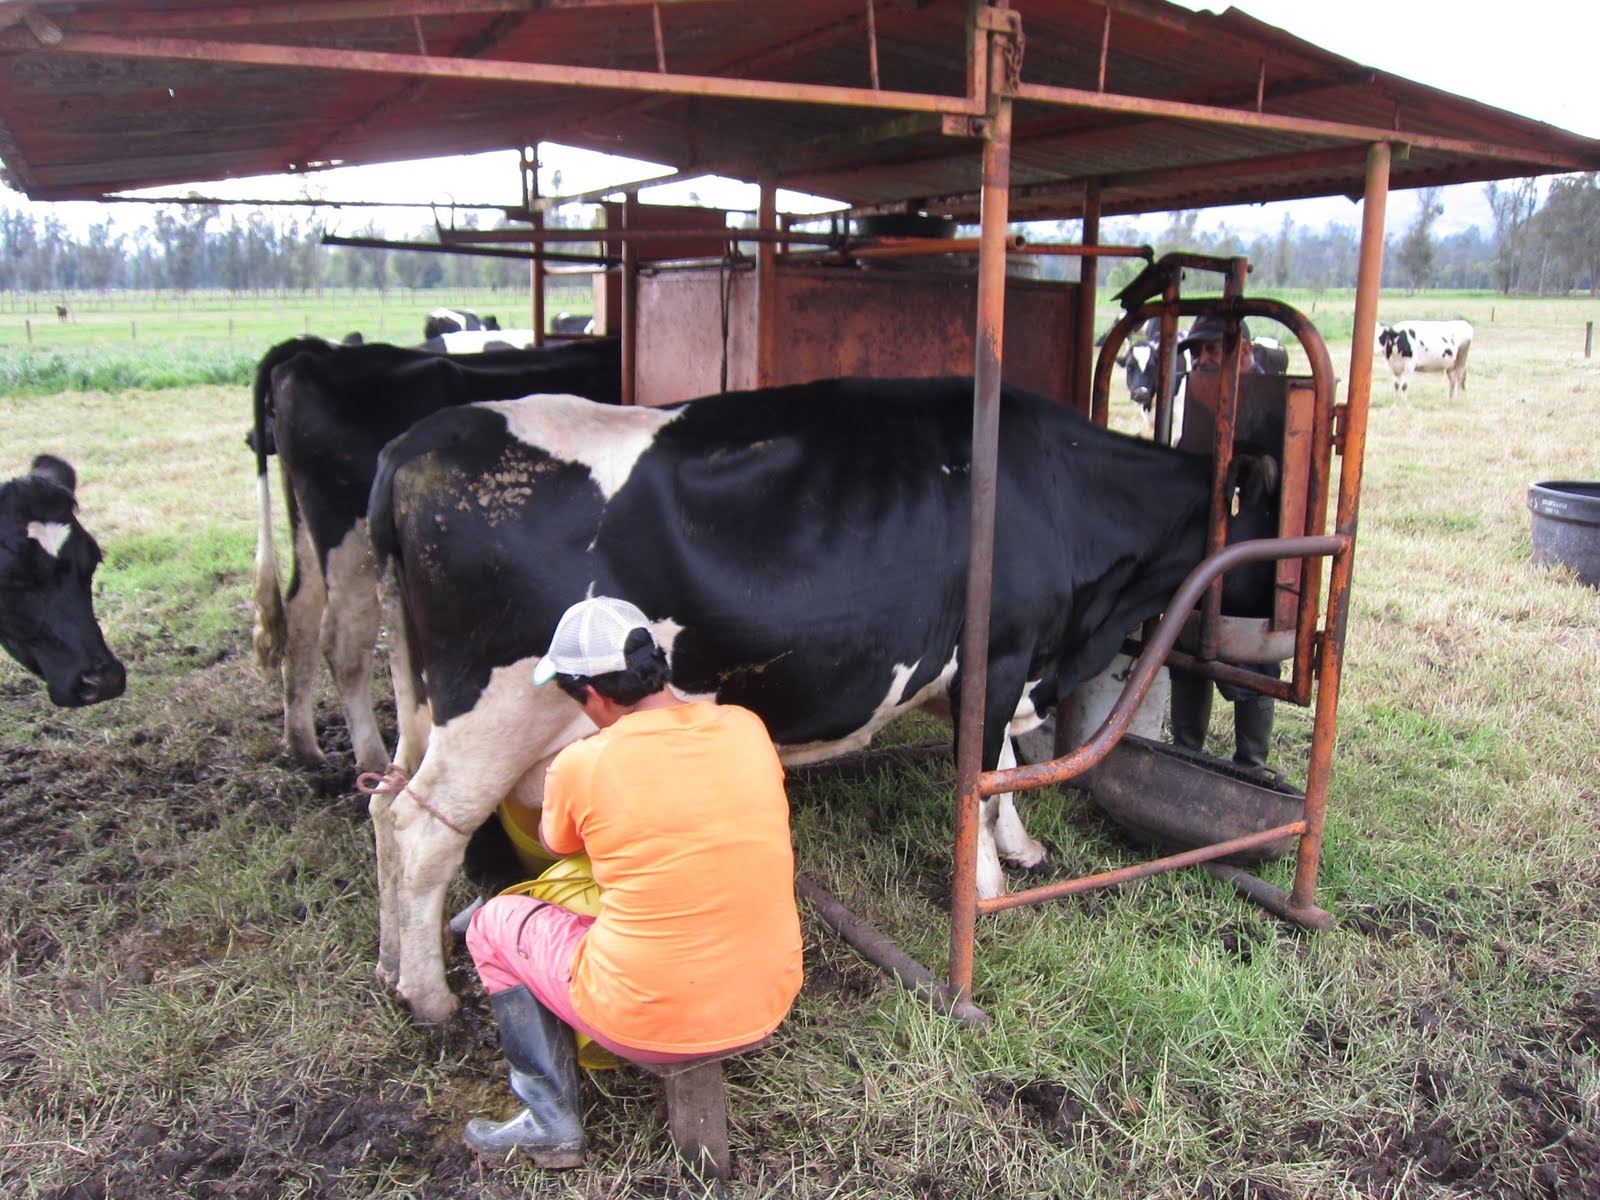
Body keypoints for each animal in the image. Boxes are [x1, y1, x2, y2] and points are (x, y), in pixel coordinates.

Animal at [252, 334, 620, 774]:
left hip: (311, 533)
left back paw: (303, 745)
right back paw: (373, 760)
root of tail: (312, 352)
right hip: (349, 539)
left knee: (300, 614)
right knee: (343, 642)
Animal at [368, 377, 1280, 1024]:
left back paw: (389, 964)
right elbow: (983, 779)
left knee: (384, 804)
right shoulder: (1000, 652)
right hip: (493, 713)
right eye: (1271, 505)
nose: (1280, 616)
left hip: (422, 707)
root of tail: (413, 446)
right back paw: (429, 998)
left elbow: (1005, 759)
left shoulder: (1008, 664)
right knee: (422, 831)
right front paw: (987, 885)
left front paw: (1023, 849)